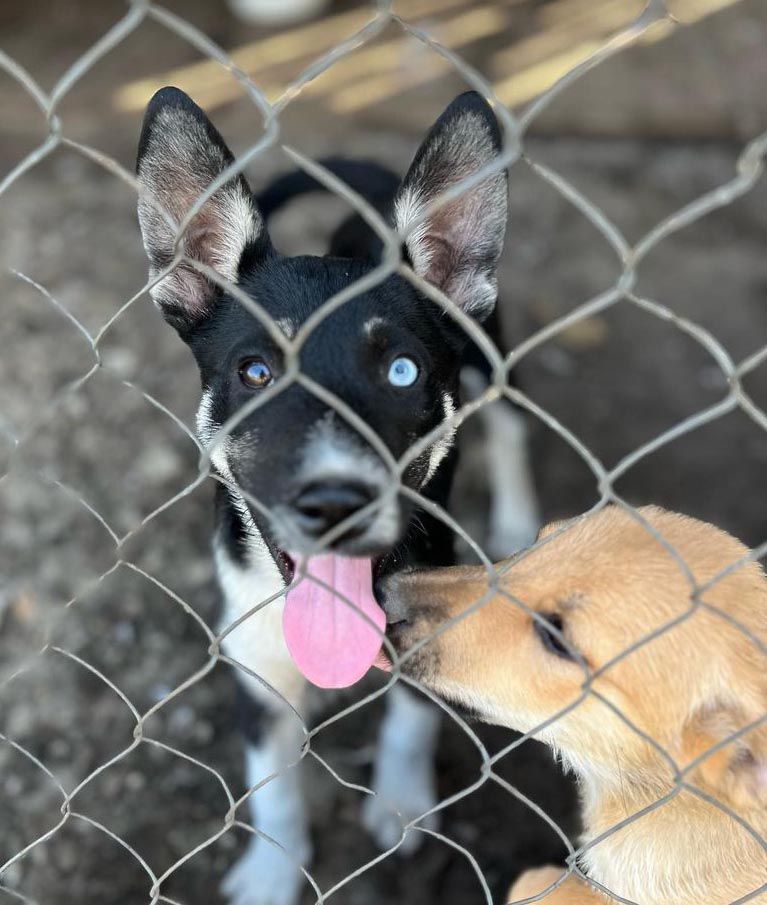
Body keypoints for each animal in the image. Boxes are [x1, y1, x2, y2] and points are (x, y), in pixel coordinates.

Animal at [135, 86, 536, 904]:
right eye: (255, 372)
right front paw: (271, 870)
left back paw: (517, 518)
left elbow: (410, 723)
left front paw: (401, 803)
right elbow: (272, 782)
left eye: (403, 372)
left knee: (512, 428)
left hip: (493, 355)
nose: (334, 504)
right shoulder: (253, 654)